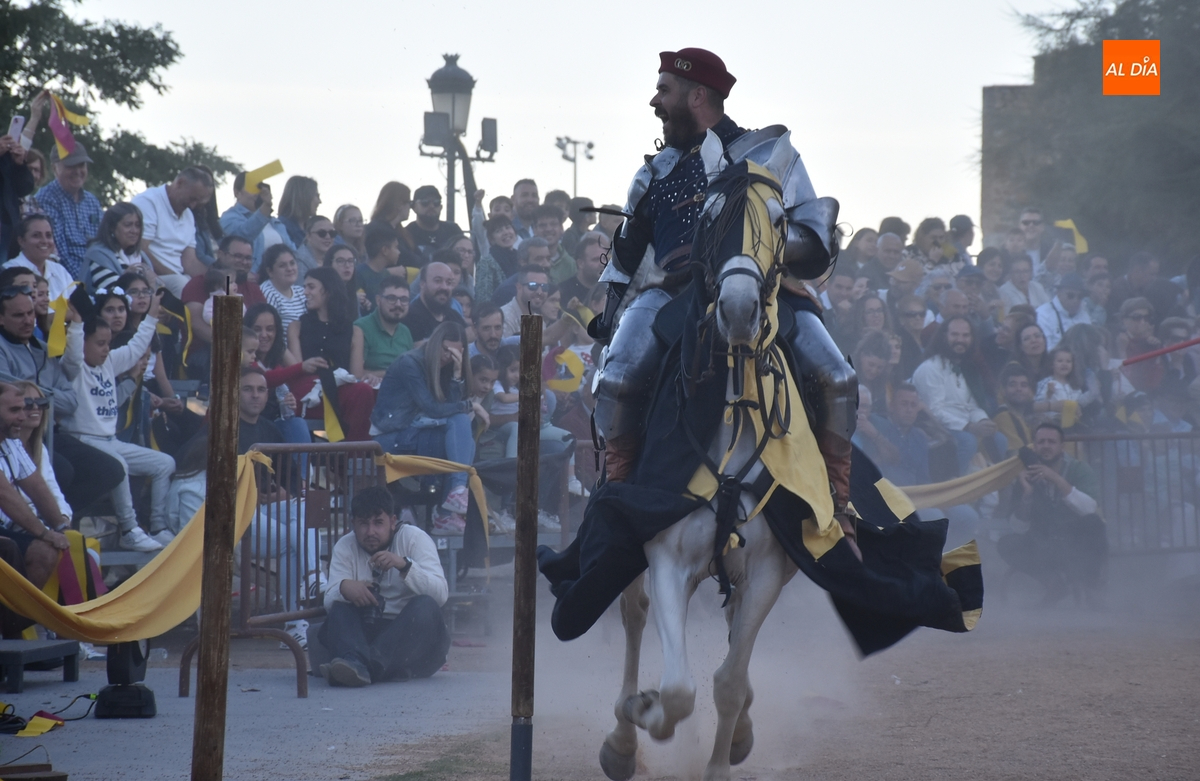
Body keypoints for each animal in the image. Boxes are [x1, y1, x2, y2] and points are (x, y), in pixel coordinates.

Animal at [598, 130, 819, 781]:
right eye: (711, 217)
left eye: (779, 219)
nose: (740, 311)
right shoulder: (666, 555)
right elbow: (677, 690)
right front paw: (639, 711)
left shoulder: (768, 569)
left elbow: (727, 683)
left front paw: (729, 748)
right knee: (634, 609)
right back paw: (622, 740)